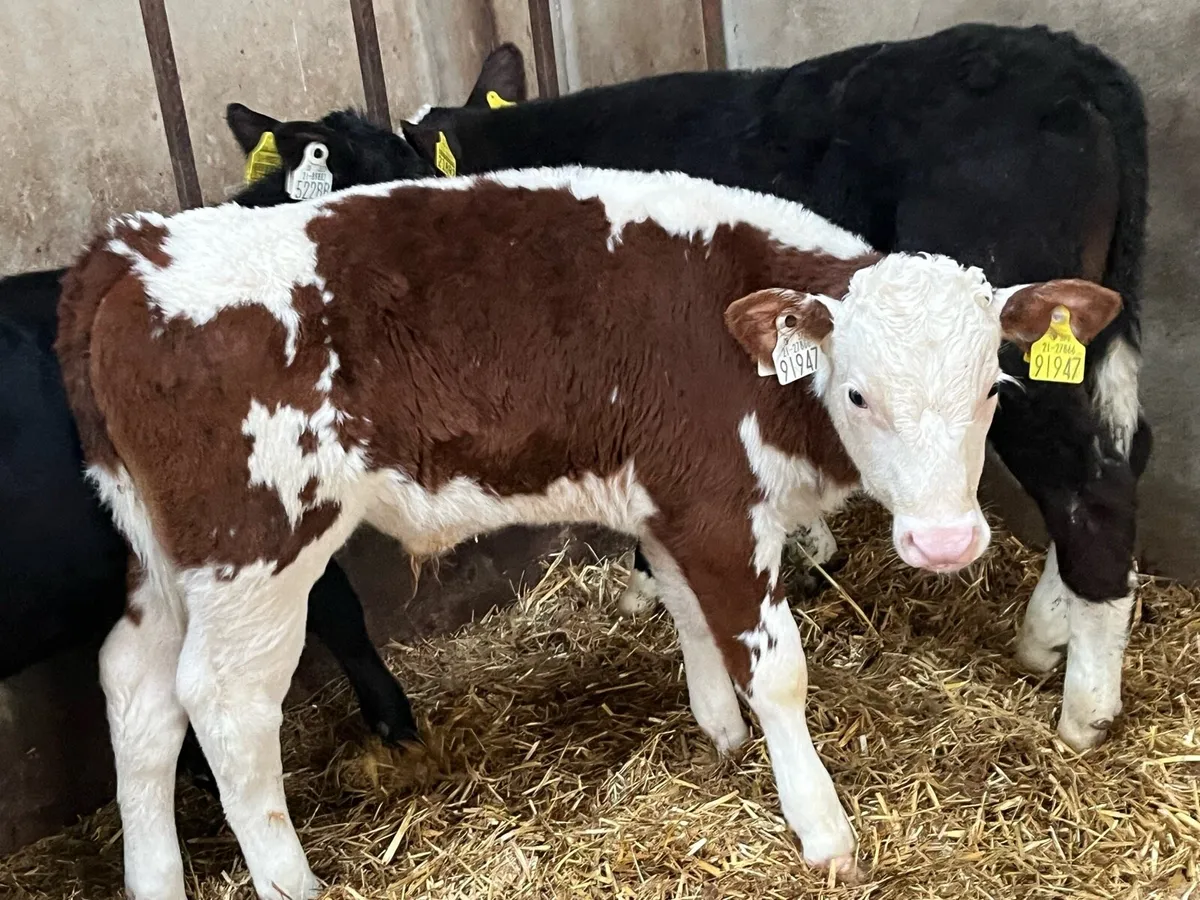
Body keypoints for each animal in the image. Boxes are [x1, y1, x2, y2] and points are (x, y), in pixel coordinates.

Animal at [57, 165, 1121, 897]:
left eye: (995, 386)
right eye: (857, 392)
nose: (946, 543)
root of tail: (136, 248)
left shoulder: (667, 501)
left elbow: (689, 615)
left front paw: (718, 733)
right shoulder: (717, 503)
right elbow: (774, 668)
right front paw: (822, 829)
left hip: (163, 553)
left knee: (134, 688)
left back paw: (155, 881)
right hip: (257, 543)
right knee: (225, 702)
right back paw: (290, 881)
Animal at [393, 24, 1153, 753]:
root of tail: (1073, 59)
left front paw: (650, 583)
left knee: (1091, 485)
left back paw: (1084, 705)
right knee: (1125, 449)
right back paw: (1050, 630)